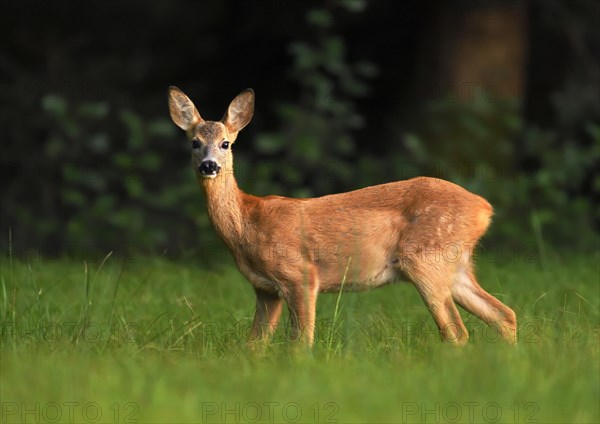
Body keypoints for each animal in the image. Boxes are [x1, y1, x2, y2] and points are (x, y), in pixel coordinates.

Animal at [168, 87, 516, 348]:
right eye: (195, 142)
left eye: (226, 143)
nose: (209, 165)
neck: (247, 225)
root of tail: (485, 208)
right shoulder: (265, 289)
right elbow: (255, 345)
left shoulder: (300, 274)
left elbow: (300, 344)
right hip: (455, 264)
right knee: (504, 314)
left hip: (426, 258)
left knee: (457, 332)